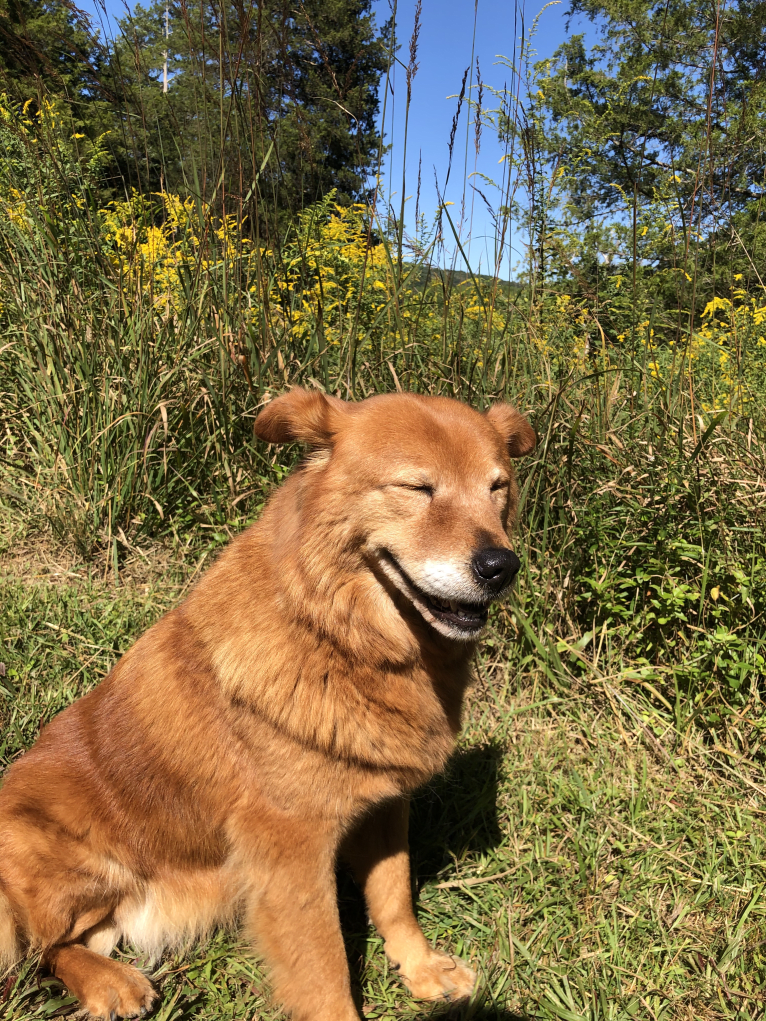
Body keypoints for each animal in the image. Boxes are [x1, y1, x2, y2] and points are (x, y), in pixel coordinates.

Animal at [0, 387, 535, 1021]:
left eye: (498, 487)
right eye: (416, 487)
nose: (501, 567)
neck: (339, 641)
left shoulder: (382, 803)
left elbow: (394, 896)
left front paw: (422, 968)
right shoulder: (291, 849)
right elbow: (325, 969)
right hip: (64, 857)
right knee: (44, 947)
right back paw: (112, 984)